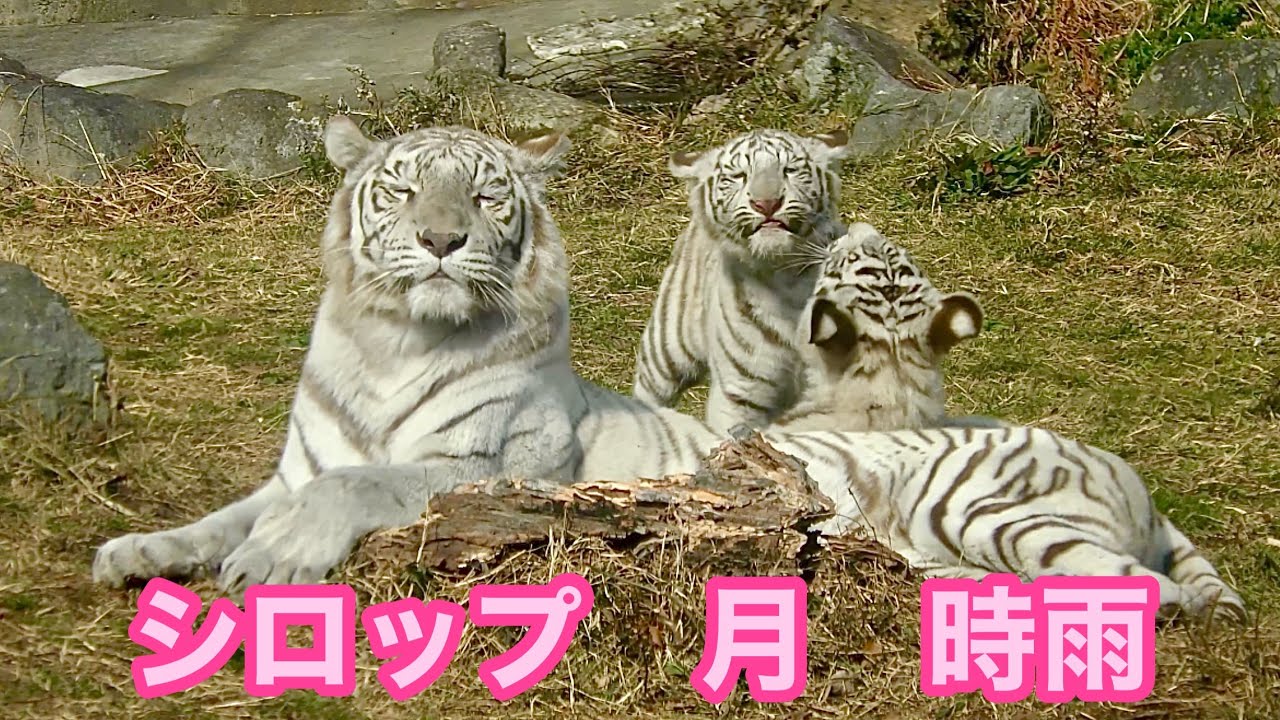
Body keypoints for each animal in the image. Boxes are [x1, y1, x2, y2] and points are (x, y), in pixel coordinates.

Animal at [632, 128, 850, 434]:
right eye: (739, 176)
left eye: (789, 170)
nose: (767, 203)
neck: (786, 277)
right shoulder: (740, 395)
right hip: (667, 349)